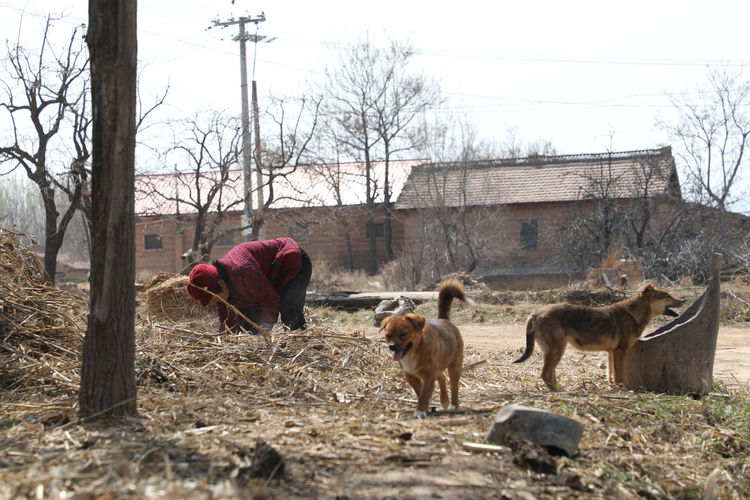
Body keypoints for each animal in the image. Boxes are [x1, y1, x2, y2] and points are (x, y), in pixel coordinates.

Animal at [382, 280, 470, 416]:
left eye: (403, 334)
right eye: (388, 335)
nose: (392, 346)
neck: (414, 351)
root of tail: (443, 319)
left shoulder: (429, 375)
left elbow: (424, 394)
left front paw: (420, 411)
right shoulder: (411, 376)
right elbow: (420, 392)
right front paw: (425, 407)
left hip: (454, 367)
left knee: (454, 386)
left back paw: (454, 405)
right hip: (439, 368)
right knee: (442, 378)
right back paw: (444, 400)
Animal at [516, 282, 684, 390]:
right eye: (667, 295)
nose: (684, 300)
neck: (634, 314)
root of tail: (535, 313)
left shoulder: (611, 352)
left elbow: (610, 375)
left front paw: (612, 389)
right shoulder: (620, 351)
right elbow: (620, 376)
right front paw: (623, 391)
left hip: (554, 351)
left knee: (550, 374)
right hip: (557, 350)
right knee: (545, 374)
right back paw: (561, 392)